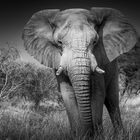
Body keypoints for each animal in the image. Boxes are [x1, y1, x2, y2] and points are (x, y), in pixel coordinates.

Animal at [22, 7, 138, 139]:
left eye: (95, 41)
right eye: (59, 42)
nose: (89, 133)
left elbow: (97, 93)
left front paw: (96, 136)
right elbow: (68, 94)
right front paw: (78, 135)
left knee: (112, 102)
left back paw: (120, 135)